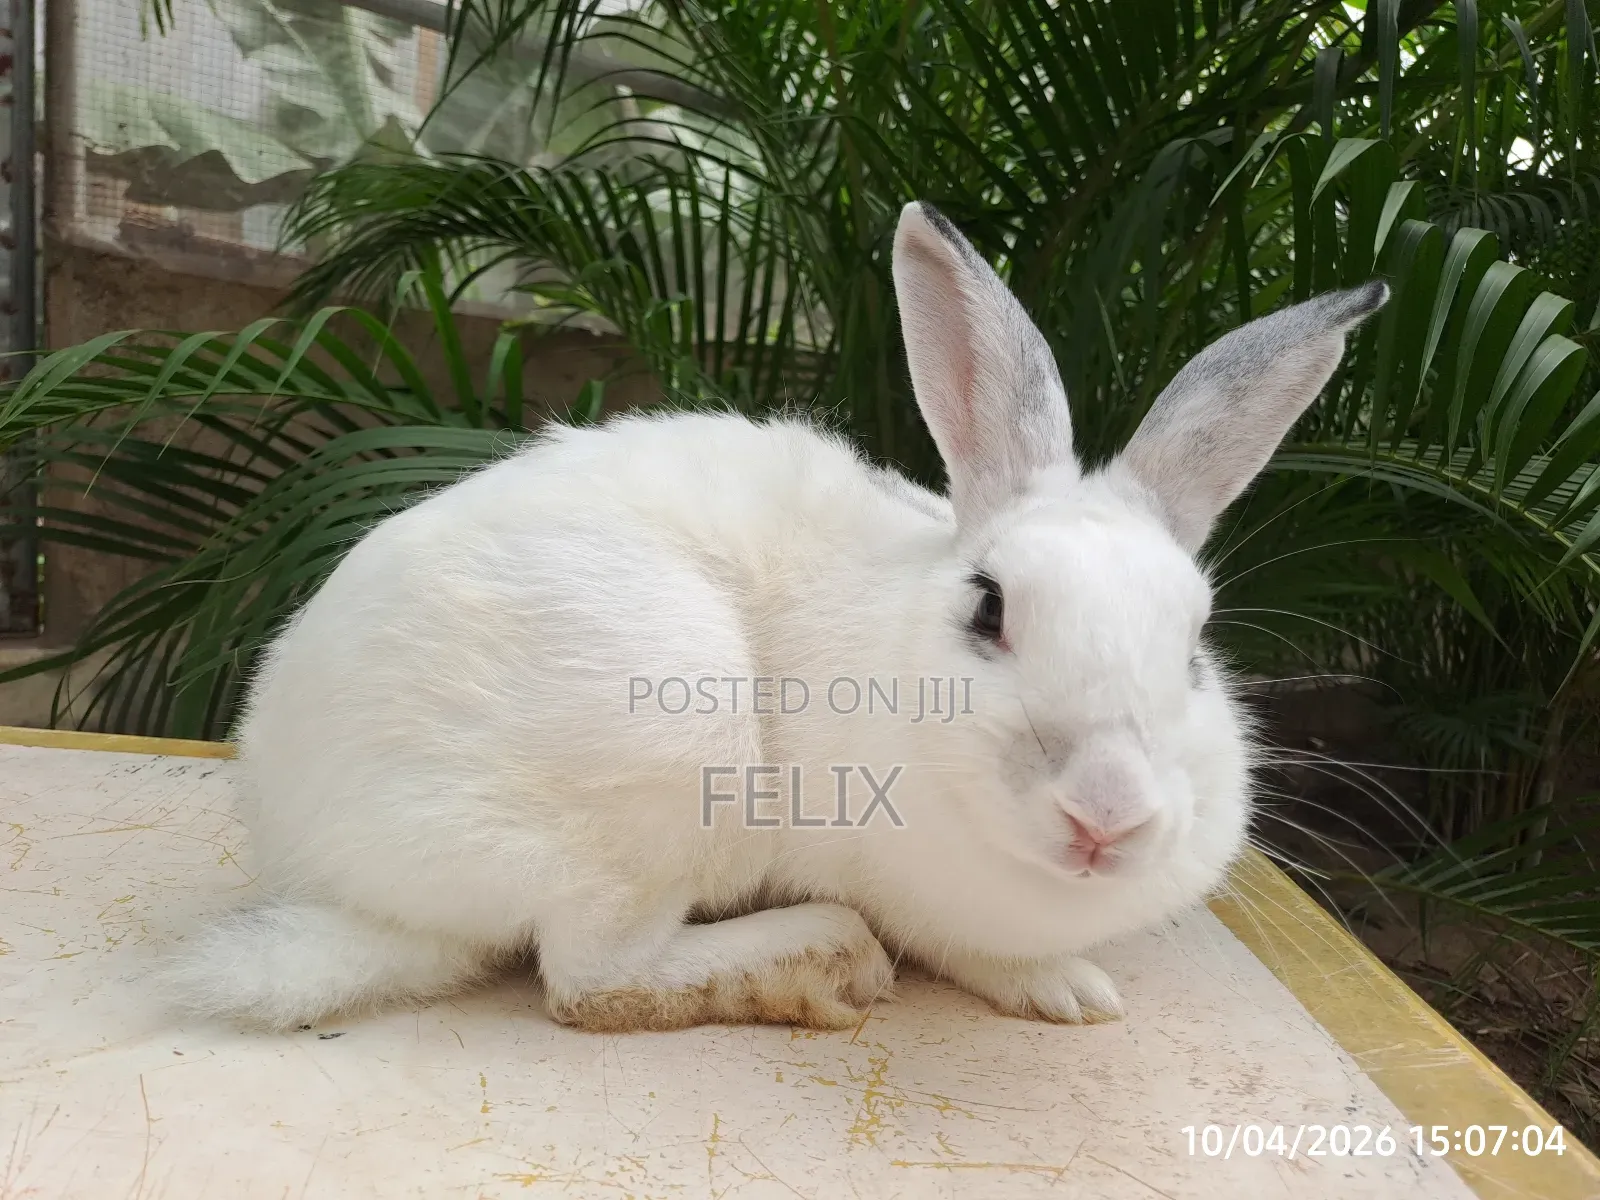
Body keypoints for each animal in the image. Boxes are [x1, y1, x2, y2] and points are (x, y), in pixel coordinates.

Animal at [161, 201, 1387, 1034]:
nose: (1108, 816)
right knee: (593, 980)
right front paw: (1065, 989)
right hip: (662, 747)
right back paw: (819, 958)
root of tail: (321, 864)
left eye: (1195, 647)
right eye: (990, 608)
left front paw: (1075, 988)